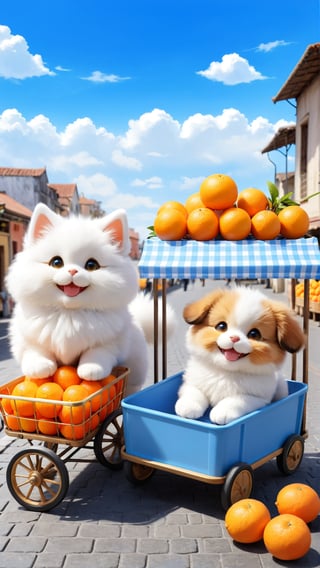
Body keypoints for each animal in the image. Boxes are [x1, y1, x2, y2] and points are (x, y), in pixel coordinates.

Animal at [6, 204, 162, 394]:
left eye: (91, 265)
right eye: (56, 262)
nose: (73, 271)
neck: (69, 312)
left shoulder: (112, 341)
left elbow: (98, 352)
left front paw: (91, 369)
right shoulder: (28, 336)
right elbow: (35, 350)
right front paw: (40, 367)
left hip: (135, 372)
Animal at [175, 286, 304, 424]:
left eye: (254, 334)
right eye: (221, 326)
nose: (234, 338)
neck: (226, 372)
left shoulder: (258, 399)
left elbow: (238, 399)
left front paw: (223, 411)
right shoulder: (191, 382)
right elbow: (194, 392)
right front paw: (189, 406)